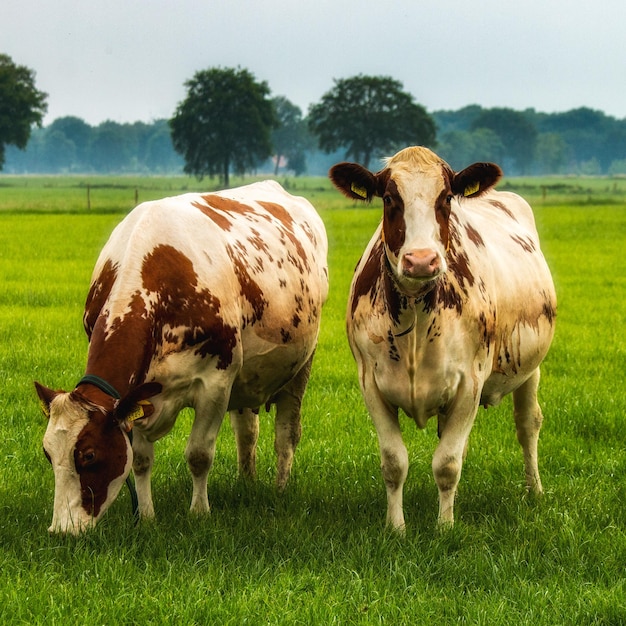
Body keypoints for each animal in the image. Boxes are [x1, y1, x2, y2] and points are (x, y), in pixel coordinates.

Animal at [34, 179, 330, 532]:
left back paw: (280, 489)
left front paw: (199, 512)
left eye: (89, 455)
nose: (61, 530)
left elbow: (199, 455)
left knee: (286, 434)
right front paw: (146, 516)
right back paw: (246, 483)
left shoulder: (216, 382)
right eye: (48, 454)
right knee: (247, 432)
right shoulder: (140, 392)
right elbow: (141, 459)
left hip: (300, 366)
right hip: (247, 378)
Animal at [330, 147, 552, 532]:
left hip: (530, 368)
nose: (421, 260)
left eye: (446, 197)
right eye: (389, 198)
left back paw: (534, 491)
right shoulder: (370, 382)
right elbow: (394, 461)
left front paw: (445, 528)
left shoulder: (470, 383)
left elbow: (447, 464)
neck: (416, 314)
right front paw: (396, 528)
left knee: (527, 424)